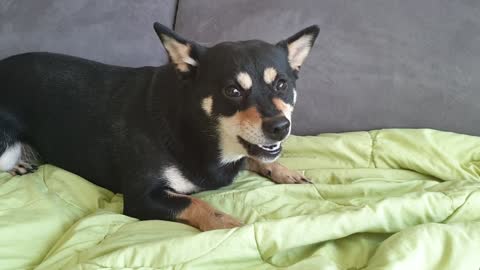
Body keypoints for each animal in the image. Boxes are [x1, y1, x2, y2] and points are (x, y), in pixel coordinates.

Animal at [0, 22, 318, 230]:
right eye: (232, 91)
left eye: (282, 84)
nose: (280, 126)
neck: (200, 130)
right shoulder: (143, 197)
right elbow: (196, 203)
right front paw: (232, 225)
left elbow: (256, 157)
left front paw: (285, 171)